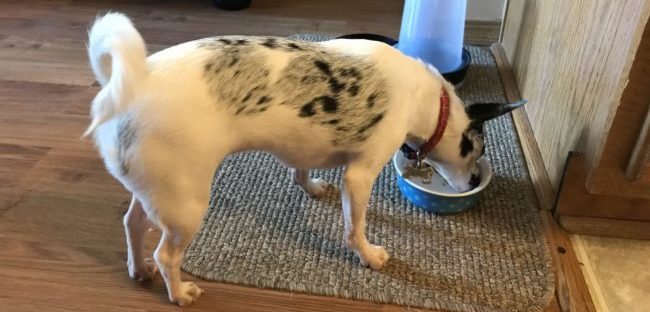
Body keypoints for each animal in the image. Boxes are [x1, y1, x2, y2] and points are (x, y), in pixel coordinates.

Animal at [83, 13, 524, 306]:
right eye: (479, 151)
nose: (474, 183)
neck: (430, 101)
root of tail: (133, 83)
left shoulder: (303, 149)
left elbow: (301, 172)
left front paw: (310, 187)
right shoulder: (360, 176)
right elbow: (355, 229)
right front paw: (368, 256)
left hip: (156, 194)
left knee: (133, 225)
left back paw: (139, 269)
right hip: (186, 206)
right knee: (167, 255)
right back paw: (179, 292)